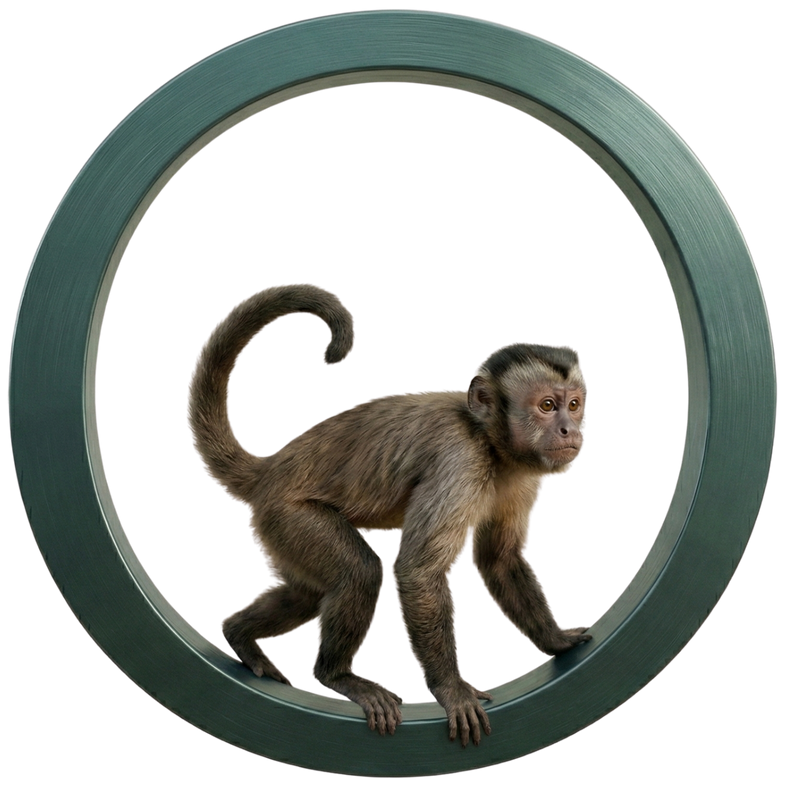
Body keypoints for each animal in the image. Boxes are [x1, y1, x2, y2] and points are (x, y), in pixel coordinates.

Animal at [185, 281, 591, 747]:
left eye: (574, 405)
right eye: (547, 406)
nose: (569, 429)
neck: (491, 440)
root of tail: (273, 469)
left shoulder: (526, 475)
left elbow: (500, 559)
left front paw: (557, 640)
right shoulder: (460, 459)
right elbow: (417, 570)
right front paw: (451, 688)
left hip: (275, 529)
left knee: (303, 592)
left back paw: (239, 634)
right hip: (287, 513)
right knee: (360, 572)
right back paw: (338, 675)